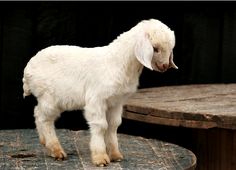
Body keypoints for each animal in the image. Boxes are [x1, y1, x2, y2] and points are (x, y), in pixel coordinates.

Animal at [22, 18, 178, 166]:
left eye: (170, 49)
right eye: (155, 48)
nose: (164, 66)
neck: (119, 63)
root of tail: (28, 70)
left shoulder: (116, 102)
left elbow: (114, 125)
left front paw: (115, 155)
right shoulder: (97, 99)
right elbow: (101, 126)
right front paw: (100, 157)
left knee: (37, 112)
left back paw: (44, 142)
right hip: (49, 96)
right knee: (45, 119)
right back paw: (56, 150)